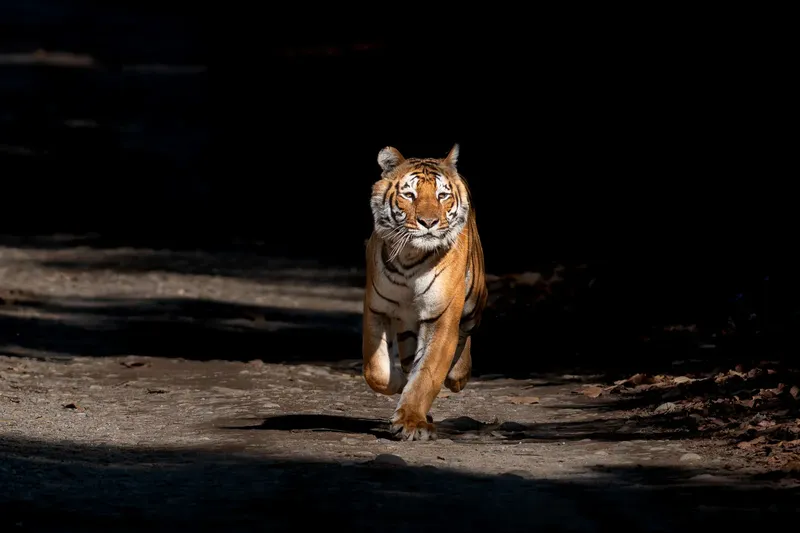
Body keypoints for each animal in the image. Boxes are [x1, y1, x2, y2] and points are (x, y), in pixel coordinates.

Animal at [362, 143, 488, 441]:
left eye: (442, 196)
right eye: (409, 194)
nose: (428, 222)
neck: (410, 257)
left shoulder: (440, 316)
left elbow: (427, 373)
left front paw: (410, 422)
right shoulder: (377, 308)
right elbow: (375, 370)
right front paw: (397, 383)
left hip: (474, 303)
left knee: (463, 337)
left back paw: (458, 375)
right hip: (408, 325)